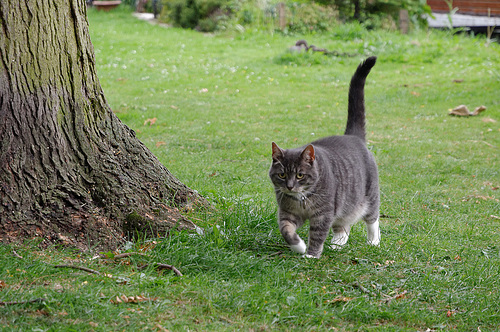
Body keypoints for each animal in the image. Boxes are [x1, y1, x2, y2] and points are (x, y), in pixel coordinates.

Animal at [270, 56, 378, 260]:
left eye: (300, 175)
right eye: (281, 175)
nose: (289, 186)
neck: (301, 199)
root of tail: (353, 136)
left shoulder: (324, 214)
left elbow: (318, 235)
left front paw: (311, 255)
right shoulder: (287, 213)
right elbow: (286, 230)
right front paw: (299, 247)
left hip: (370, 195)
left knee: (373, 220)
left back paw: (374, 242)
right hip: (344, 205)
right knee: (343, 227)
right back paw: (337, 244)